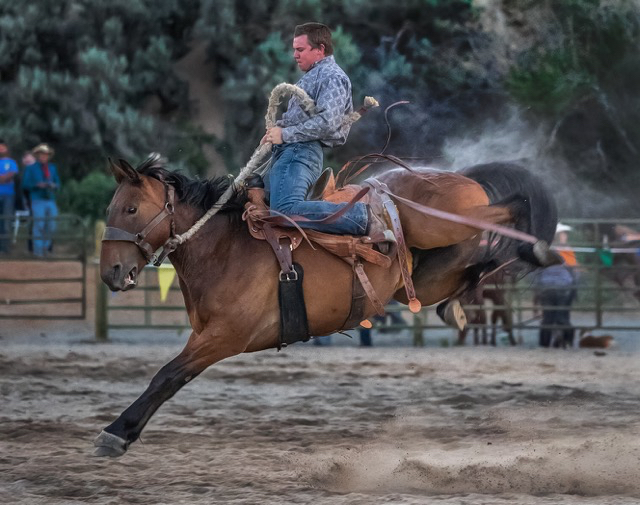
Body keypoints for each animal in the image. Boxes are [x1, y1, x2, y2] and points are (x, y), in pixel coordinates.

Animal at [94, 158, 556, 456]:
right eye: (111, 208)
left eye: (131, 208)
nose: (111, 272)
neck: (224, 248)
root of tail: (459, 177)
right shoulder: (206, 335)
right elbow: (170, 376)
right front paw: (122, 431)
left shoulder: (224, 337)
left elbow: (168, 376)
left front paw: (117, 432)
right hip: (429, 274)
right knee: (475, 268)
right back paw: (467, 298)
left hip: (444, 225)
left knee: (510, 207)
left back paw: (539, 248)